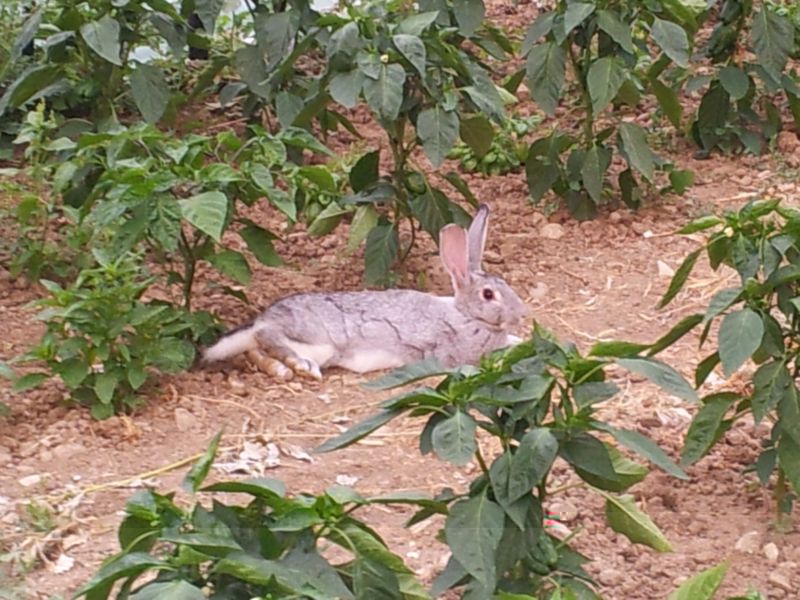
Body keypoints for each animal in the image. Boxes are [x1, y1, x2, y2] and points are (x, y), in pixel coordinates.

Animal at [201, 203, 529, 380]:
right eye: (489, 295)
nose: (522, 315)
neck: (466, 315)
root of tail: (263, 317)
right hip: (319, 340)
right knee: (267, 337)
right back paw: (301, 366)